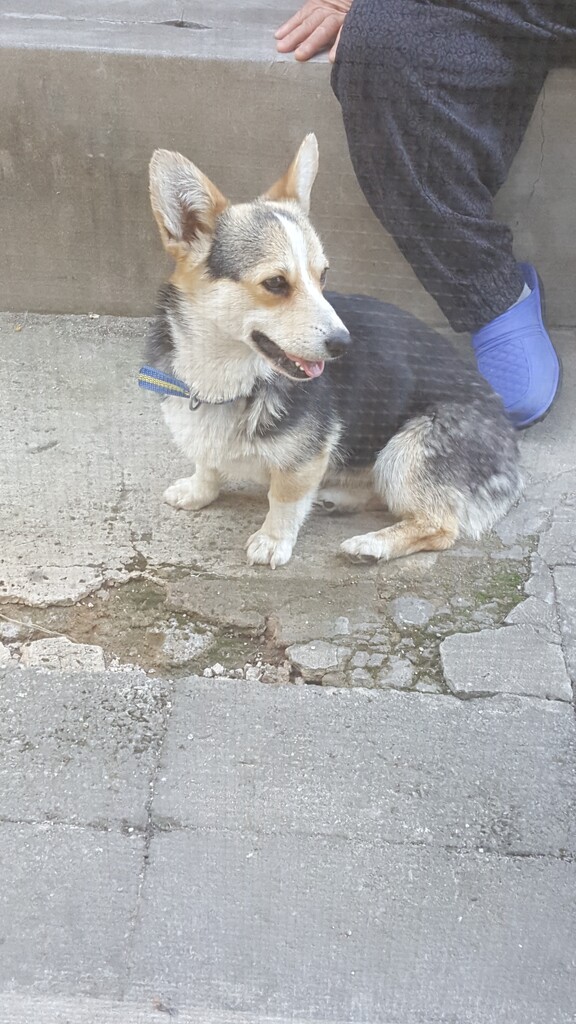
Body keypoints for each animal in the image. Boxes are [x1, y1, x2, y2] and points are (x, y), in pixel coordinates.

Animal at [141, 134, 522, 568]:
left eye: (322, 276)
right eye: (275, 283)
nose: (344, 344)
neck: (227, 377)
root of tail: (512, 451)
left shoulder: (305, 459)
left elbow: (284, 497)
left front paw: (272, 540)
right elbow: (207, 464)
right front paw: (197, 491)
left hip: (405, 450)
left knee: (439, 525)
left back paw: (370, 544)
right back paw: (338, 498)